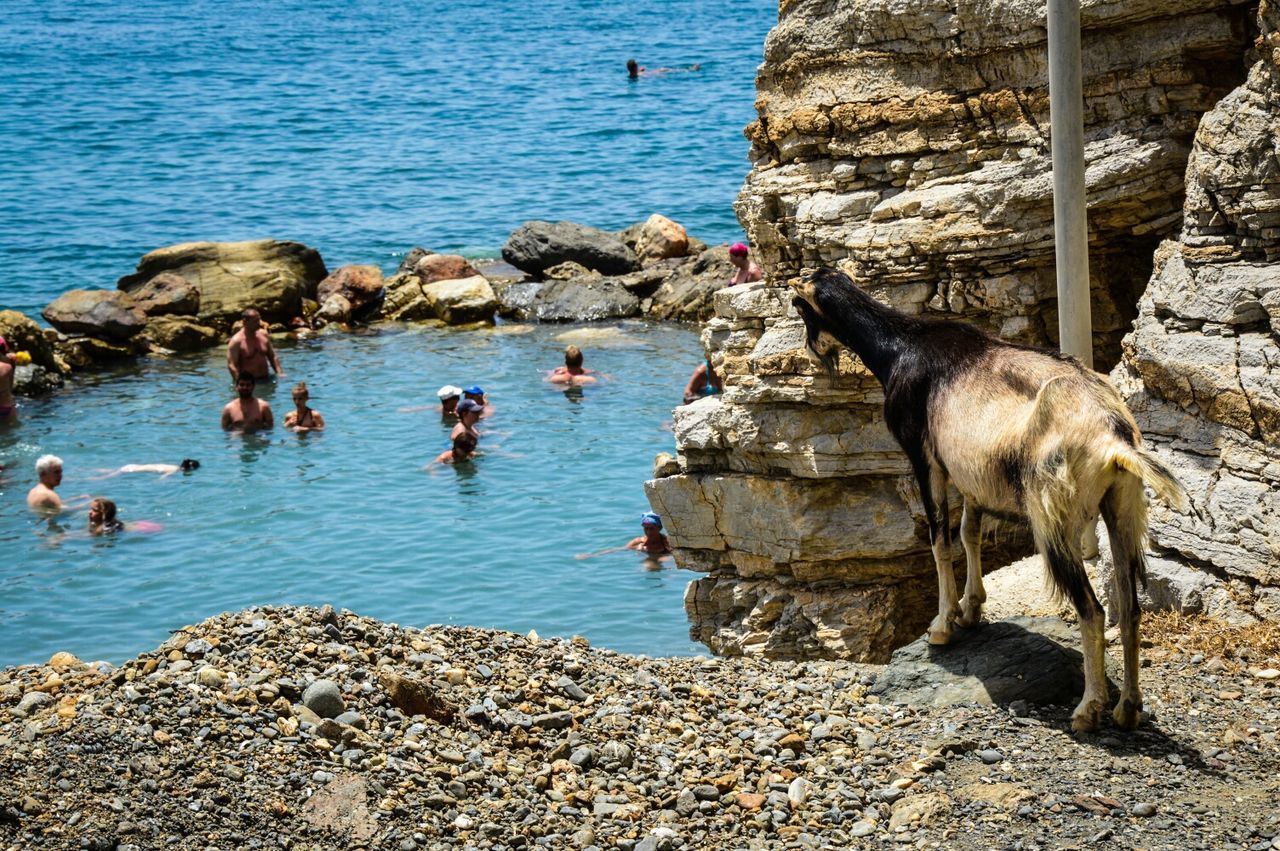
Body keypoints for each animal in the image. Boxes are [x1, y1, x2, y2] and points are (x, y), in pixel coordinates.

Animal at [788, 267, 1187, 731]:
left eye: (800, 306)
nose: (809, 349)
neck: (901, 347)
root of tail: (1113, 438)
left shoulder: (924, 457)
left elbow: (940, 541)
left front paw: (943, 625)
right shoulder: (971, 476)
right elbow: (969, 533)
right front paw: (971, 608)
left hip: (1053, 519)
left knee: (1092, 610)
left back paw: (1088, 709)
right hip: (1121, 507)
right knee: (1130, 607)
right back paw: (1127, 708)